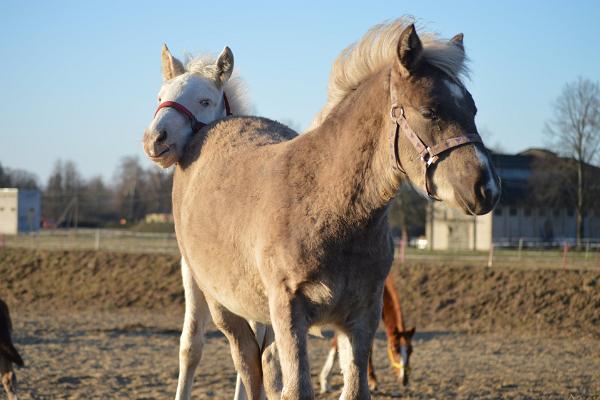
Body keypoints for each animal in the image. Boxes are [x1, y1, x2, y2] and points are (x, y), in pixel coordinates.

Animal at [143, 19, 500, 400]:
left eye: (473, 110)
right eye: (430, 111)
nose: (487, 187)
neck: (327, 204)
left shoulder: (361, 317)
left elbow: (352, 387)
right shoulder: (289, 312)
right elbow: (295, 386)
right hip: (217, 301)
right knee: (235, 361)